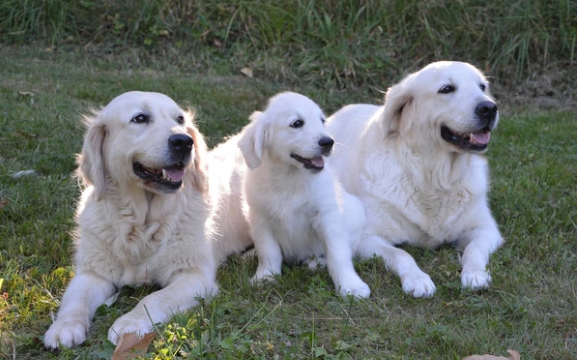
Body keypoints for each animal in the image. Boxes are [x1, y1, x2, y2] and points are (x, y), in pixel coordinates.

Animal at [44, 91, 217, 348]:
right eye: (140, 118)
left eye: (180, 119)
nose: (185, 142)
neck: (142, 222)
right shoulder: (93, 272)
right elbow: (76, 300)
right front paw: (64, 326)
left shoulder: (195, 275)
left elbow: (155, 298)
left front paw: (129, 323)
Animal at [237, 92, 368, 298]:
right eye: (297, 123)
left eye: (322, 120)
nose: (328, 142)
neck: (289, 178)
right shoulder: (260, 218)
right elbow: (268, 251)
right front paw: (266, 276)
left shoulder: (327, 216)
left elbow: (338, 253)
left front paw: (350, 285)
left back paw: (316, 263)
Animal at [326, 62, 502, 298]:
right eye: (447, 89)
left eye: (482, 86)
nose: (489, 108)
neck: (433, 176)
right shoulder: (365, 237)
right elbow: (401, 254)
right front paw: (418, 279)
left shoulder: (486, 228)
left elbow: (473, 249)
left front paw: (475, 274)